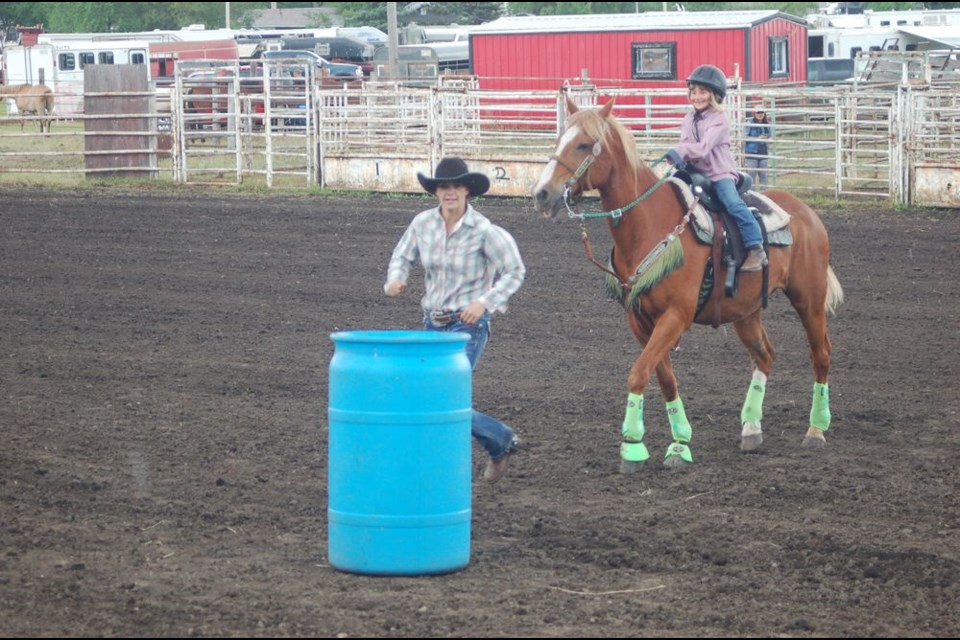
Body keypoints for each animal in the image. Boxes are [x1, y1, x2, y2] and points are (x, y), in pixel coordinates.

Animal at [532, 97, 840, 472]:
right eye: (560, 138)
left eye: (584, 144)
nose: (542, 193)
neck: (649, 224)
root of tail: (807, 214)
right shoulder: (640, 321)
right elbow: (663, 378)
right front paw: (678, 441)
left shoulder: (676, 315)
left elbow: (638, 373)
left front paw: (634, 447)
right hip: (746, 312)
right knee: (765, 355)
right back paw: (751, 428)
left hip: (808, 298)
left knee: (820, 354)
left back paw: (816, 430)